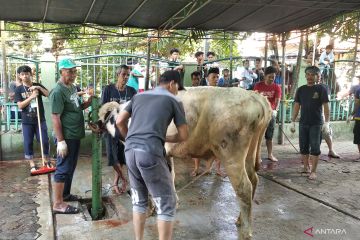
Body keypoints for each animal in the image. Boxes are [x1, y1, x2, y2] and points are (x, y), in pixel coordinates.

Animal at [97, 87, 272, 239]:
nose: (95, 125)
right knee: (254, 179)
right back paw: (240, 219)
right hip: (248, 154)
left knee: (244, 187)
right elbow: (171, 176)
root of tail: (254, 96)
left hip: (231, 155)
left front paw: (152, 209)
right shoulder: (165, 154)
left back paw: (246, 231)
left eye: (106, 117)